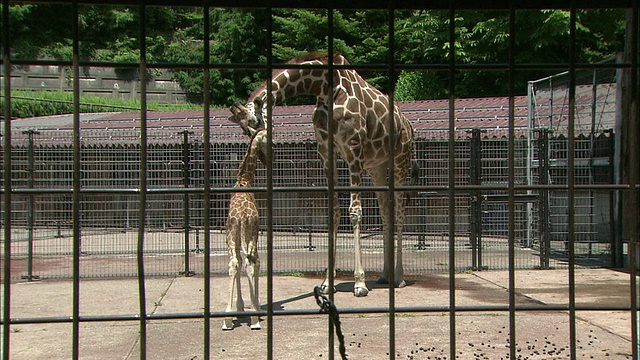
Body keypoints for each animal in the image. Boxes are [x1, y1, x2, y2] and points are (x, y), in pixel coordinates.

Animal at [226, 51, 416, 298]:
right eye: (245, 131)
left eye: (258, 123)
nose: (266, 158)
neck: (325, 87)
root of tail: (407, 123)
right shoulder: (326, 151)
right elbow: (333, 212)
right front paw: (327, 281)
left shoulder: (353, 149)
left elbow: (355, 212)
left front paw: (360, 283)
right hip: (377, 166)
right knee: (385, 210)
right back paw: (385, 274)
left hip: (400, 160)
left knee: (400, 211)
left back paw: (400, 277)